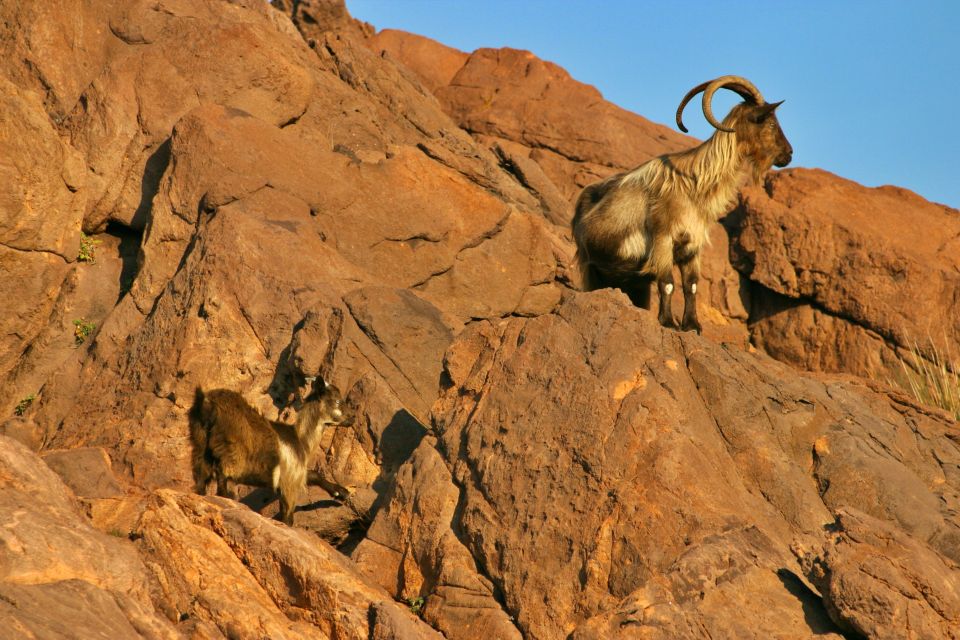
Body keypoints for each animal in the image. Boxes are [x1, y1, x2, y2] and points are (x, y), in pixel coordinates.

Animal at [188, 376, 352, 524]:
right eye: (337, 401)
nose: (352, 418)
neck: (300, 441)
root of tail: (207, 404)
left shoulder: (294, 474)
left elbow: (313, 474)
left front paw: (341, 492)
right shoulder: (290, 482)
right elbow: (288, 518)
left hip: (200, 444)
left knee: (201, 478)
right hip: (231, 452)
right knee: (222, 475)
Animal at [572, 76, 792, 330]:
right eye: (771, 123)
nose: (789, 154)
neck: (695, 186)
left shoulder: (692, 247)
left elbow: (692, 286)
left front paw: (692, 325)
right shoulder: (663, 239)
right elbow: (667, 283)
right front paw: (668, 322)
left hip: (632, 282)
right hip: (589, 267)